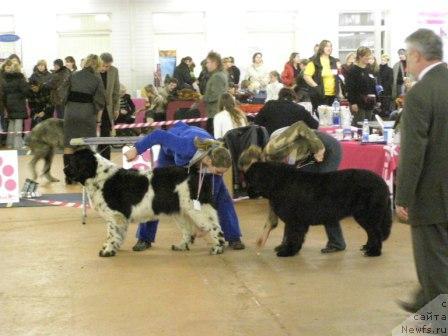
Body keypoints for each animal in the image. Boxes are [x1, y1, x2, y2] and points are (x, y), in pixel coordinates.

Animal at [65, 148, 226, 256]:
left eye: (72, 162)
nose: (64, 169)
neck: (98, 177)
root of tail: (191, 171)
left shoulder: (115, 216)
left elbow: (111, 234)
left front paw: (107, 250)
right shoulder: (119, 218)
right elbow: (117, 235)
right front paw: (113, 247)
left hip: (199, 210)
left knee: (216, 228)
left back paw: (218, 248)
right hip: (181, 212)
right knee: (188, 231)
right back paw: (181, 246)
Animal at [245, 160, 392, 258]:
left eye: (250, 179)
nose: (247, 192)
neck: (277, 182)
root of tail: (383, 184)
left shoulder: (295, 221)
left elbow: (293, 236)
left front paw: (287, 252)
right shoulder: (296, 221)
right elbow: (294, 236)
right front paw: (290, 249)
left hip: (367, 215)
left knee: (376, 233)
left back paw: (373, 252)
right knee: (371, 233)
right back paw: (367, 247)